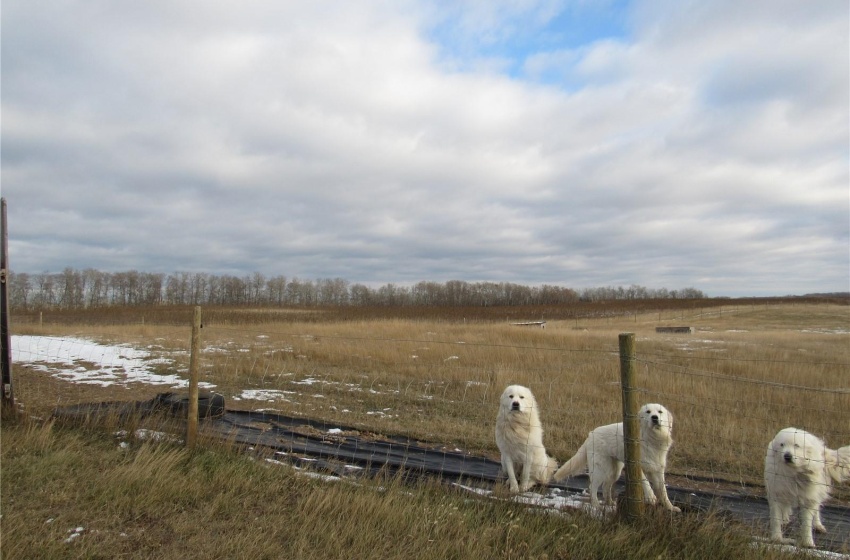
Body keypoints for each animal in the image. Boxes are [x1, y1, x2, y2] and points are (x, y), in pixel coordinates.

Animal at [548, 402, 684, 512]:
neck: (651, 438)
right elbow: (645, 482)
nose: (654, 418)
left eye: (660, 412)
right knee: (593, 487)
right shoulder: (636, 466)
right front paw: (650, 497)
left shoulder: (658, 470)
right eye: (648, 412)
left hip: (614, 472)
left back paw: (610, 503)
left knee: (605, 487)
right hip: (600, 470)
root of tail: (591, 434)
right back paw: (596, 505)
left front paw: (671, 507)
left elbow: (663, 492)